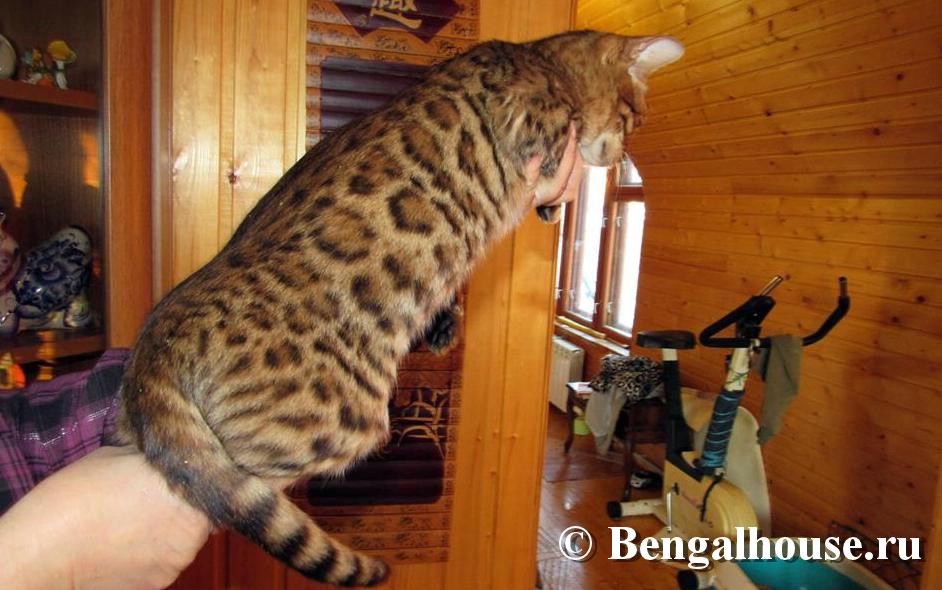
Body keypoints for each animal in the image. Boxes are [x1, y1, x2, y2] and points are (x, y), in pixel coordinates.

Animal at [113, 31, 683, 586]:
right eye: (634, 118)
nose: (619, 157)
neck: (545, 62)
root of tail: (156, 340)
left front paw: (445, 325)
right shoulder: (539, 137)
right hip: (341, 420)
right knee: (228, 482)